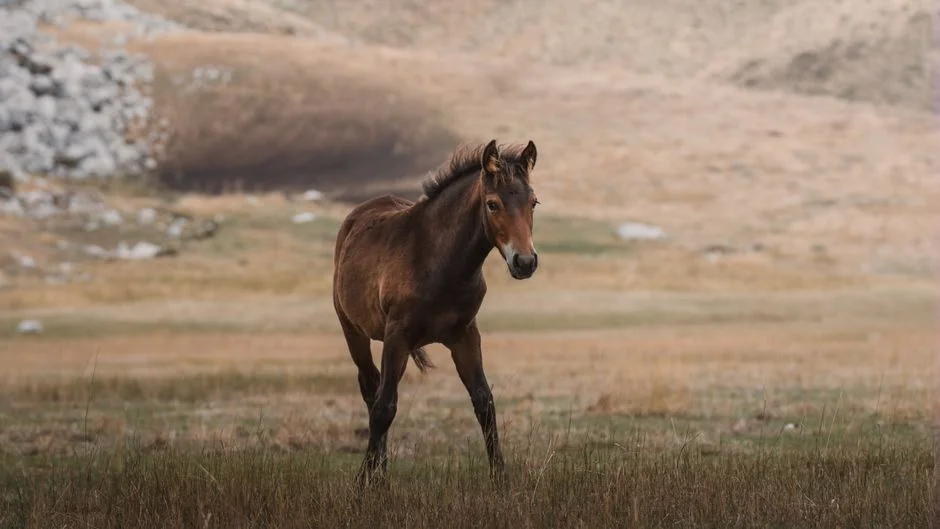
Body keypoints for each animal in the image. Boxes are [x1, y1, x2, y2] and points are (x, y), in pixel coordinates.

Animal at [331, 139, 541, 488]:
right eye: (493, 204)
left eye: (533, 203)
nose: (524, 262)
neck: (438, 261)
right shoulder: (397, 336)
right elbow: (384, 407)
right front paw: (363, 482)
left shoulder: (465, 335)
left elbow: (484, 402)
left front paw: (500, 480)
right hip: (353, 332)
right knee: (371, 389)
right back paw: (378, 472)